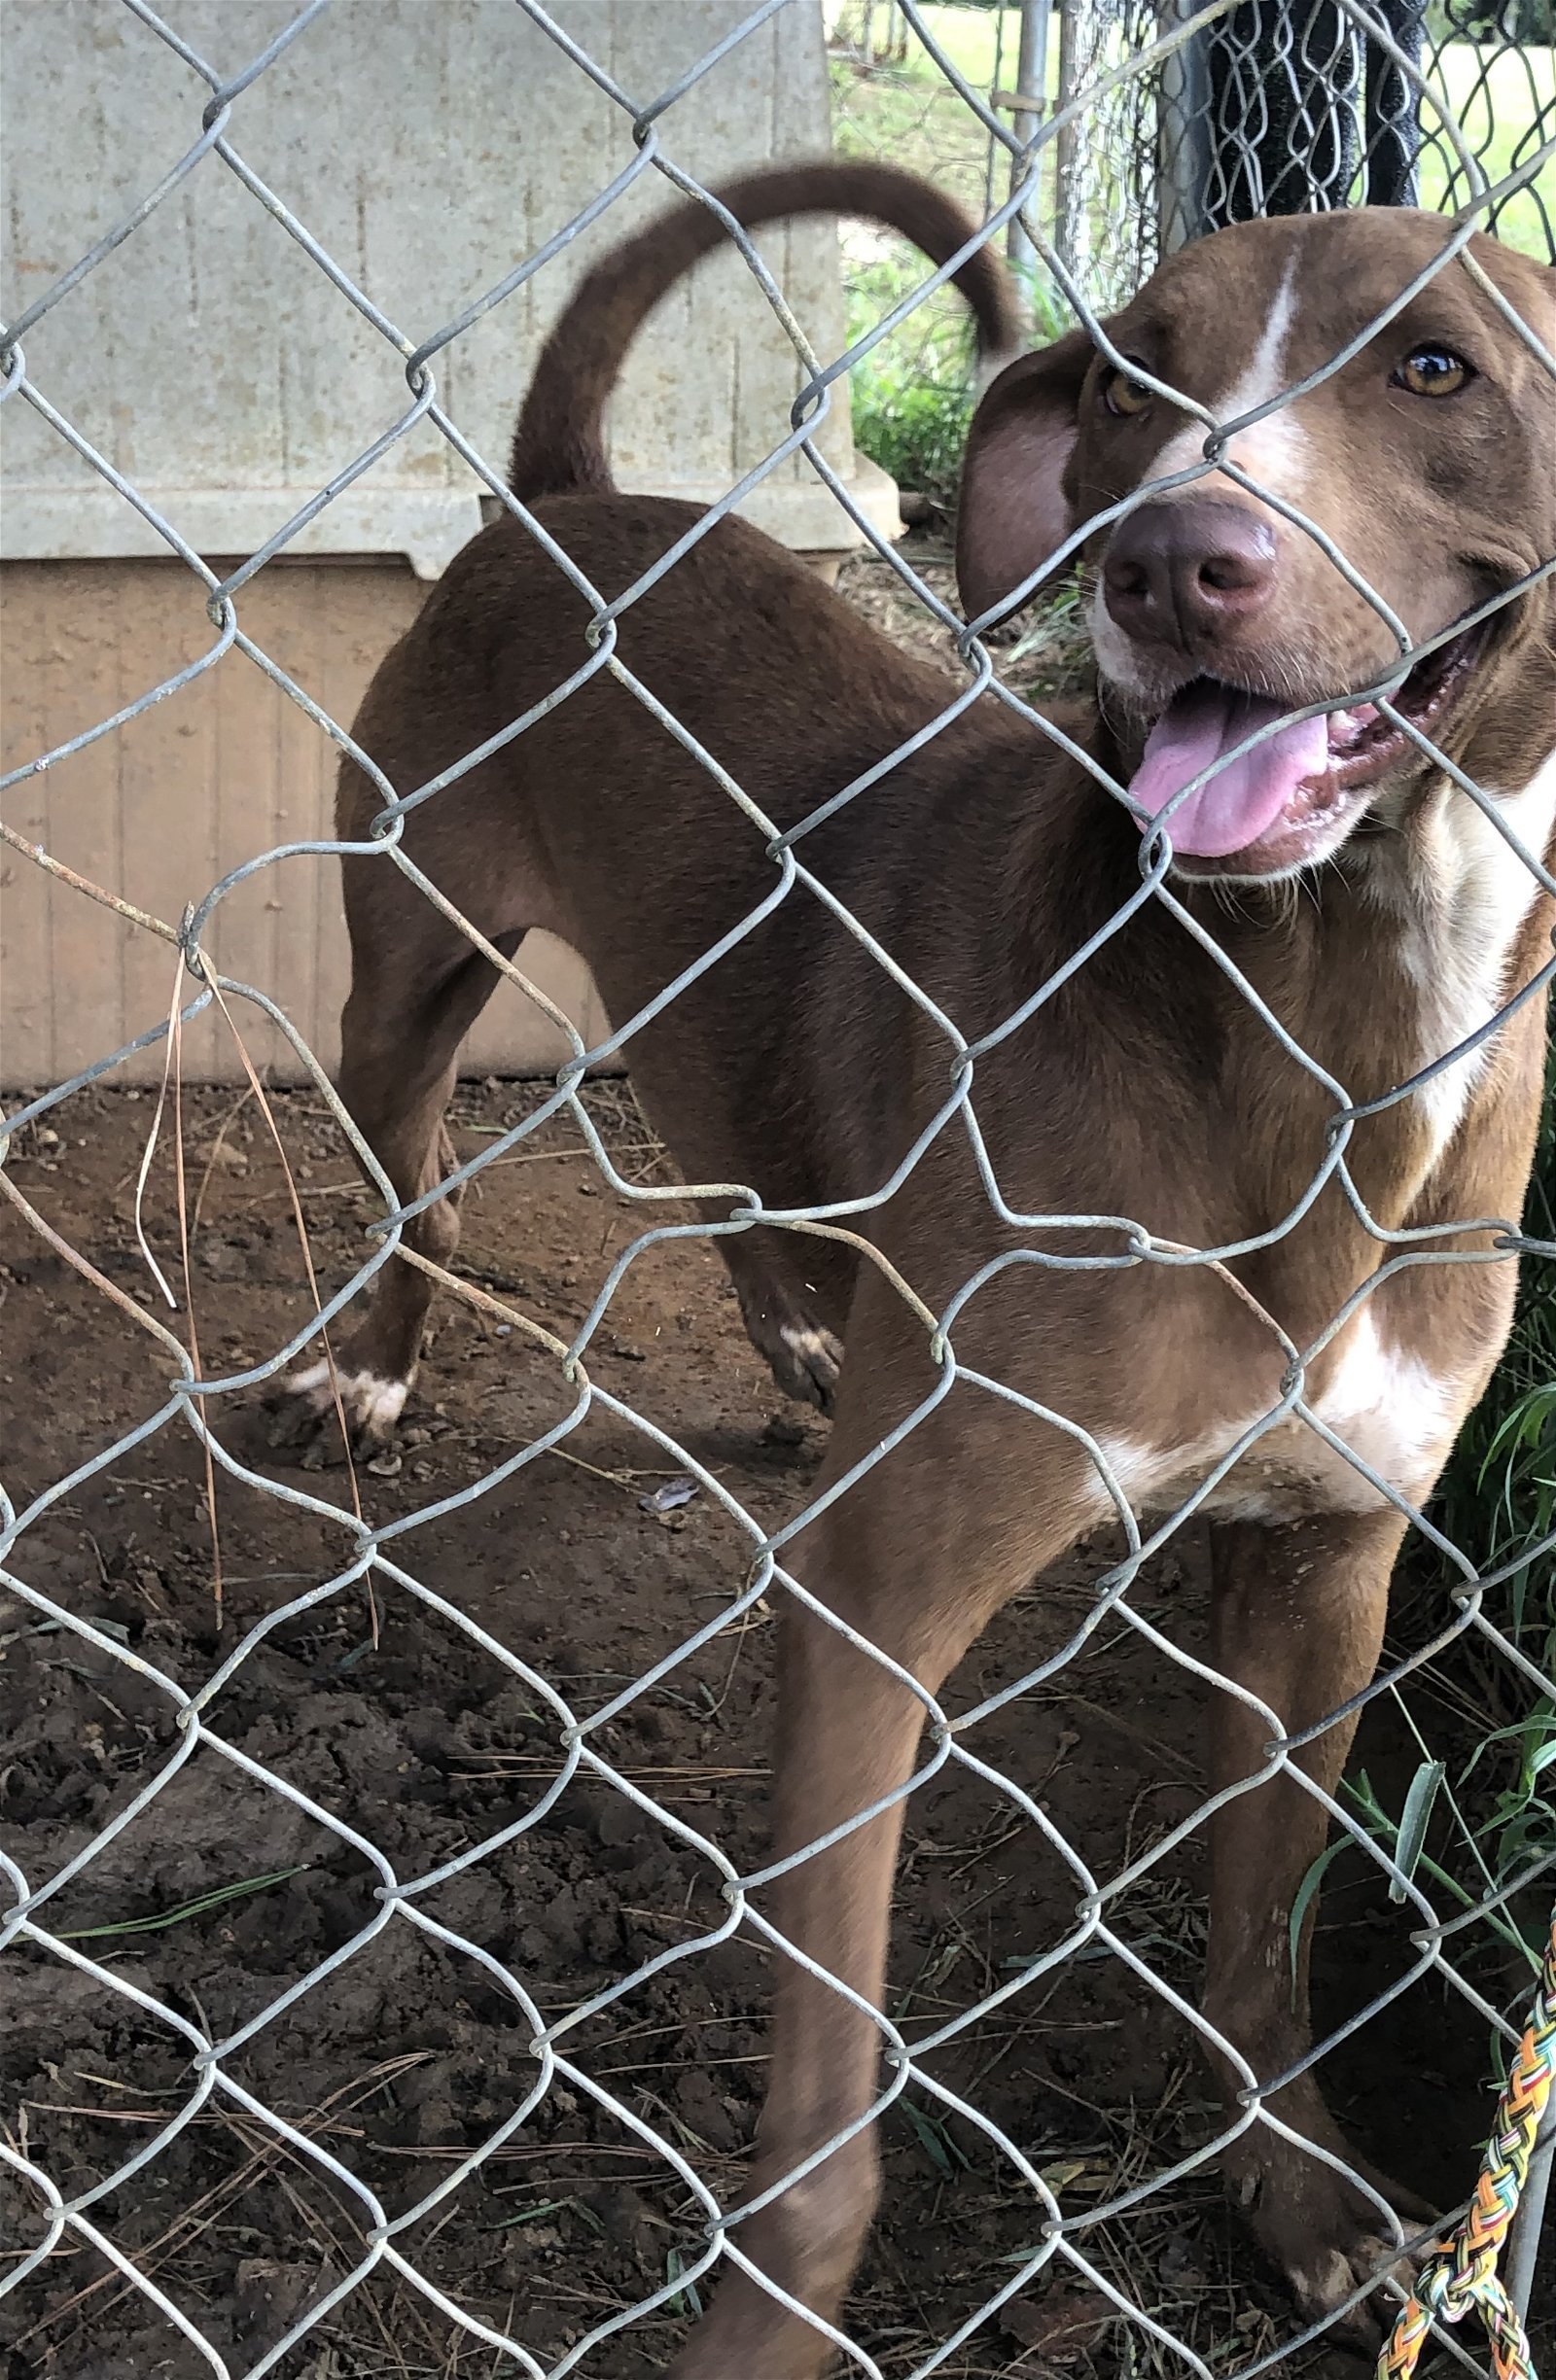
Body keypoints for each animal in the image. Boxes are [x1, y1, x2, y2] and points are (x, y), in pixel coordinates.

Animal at [274, 162, 1556, 2361]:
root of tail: (570, 500)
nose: (1164, 562)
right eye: (1131, 383)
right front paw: (761, 2341)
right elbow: (823, 2132)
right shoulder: (881, 1599)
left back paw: (802, 1323)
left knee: (725, 1147)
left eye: (1434, 367)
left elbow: (1265, 1934)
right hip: (407, 957)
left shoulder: (1327, 1569)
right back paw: (378, 1358)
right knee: (418, 1175)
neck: (1322, 1029)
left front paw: (1294, 2190)